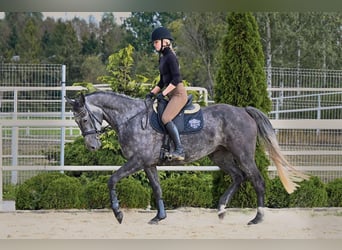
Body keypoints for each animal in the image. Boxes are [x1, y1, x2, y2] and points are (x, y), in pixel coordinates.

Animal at [65, 91, 308, 225]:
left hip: (243, 154)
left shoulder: (137, 162)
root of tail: (242, 110)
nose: (92, 146)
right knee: (238, 177)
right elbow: (157, 189)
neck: (130, 118)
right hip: (220, 156)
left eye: (84, 118)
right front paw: (159, 217)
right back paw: (221, 209)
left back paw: (257, 218)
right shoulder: (148, 164)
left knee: (256, 180)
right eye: (76, 120)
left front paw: (118, 214)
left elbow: (112, 179)